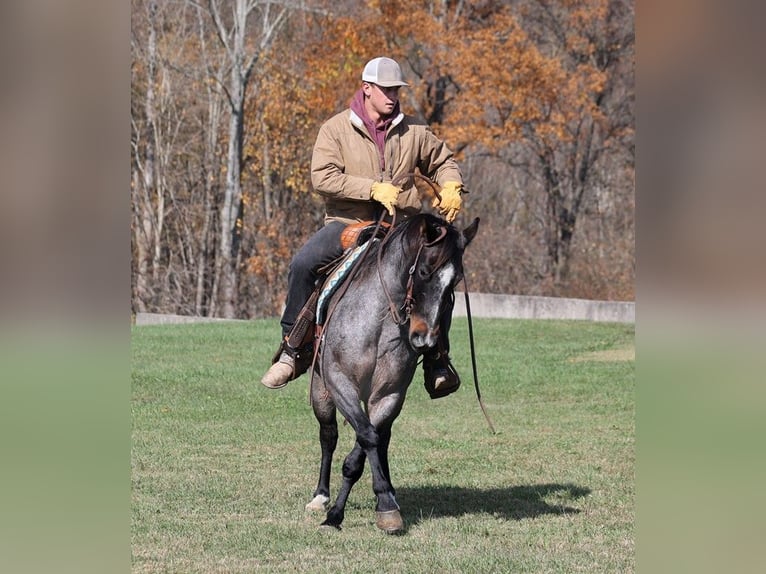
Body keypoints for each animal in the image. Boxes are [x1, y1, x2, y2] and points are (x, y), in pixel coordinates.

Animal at [304, 213, 480, 536]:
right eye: (423, 271)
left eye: (455, 281)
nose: (425, 340)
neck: (376, 321)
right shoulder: (340, 383)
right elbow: (365, 438)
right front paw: (336, 512)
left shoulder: (389, 394)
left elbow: (366, 445)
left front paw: (385, 503)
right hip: (321, 391)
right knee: (329, 435)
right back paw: (320, 496)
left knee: (381, 437)